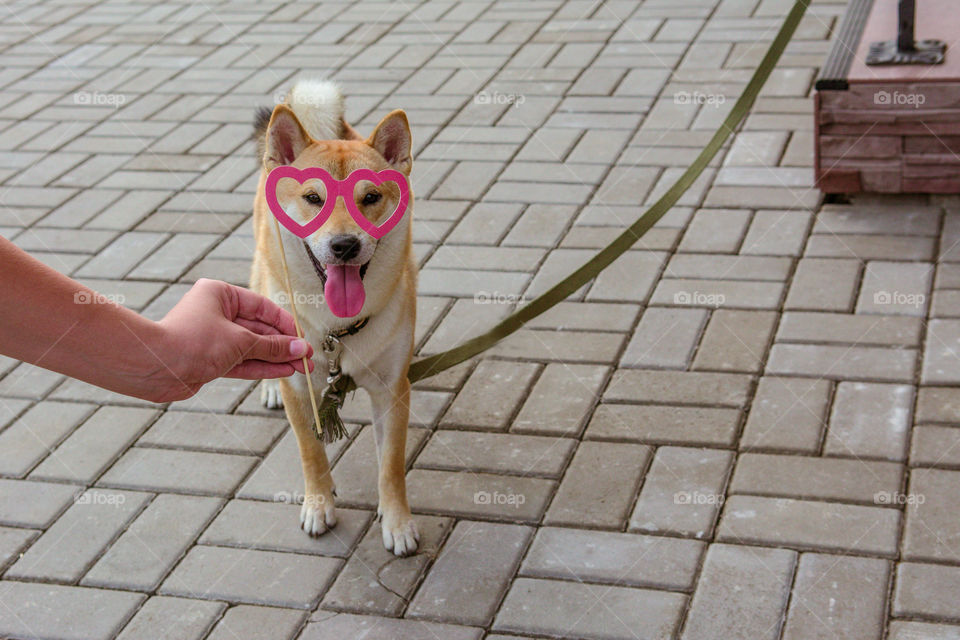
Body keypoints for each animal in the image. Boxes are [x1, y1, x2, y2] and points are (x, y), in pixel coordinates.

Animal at [251, 80, 420, 556]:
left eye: (370, 198)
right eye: (314, 198)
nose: (345, 245)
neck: (337, 330)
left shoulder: (392, 390)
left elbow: (391, 466)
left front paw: (397, 522)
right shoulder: (299, 386)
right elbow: (311, 452)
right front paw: (318, 504)